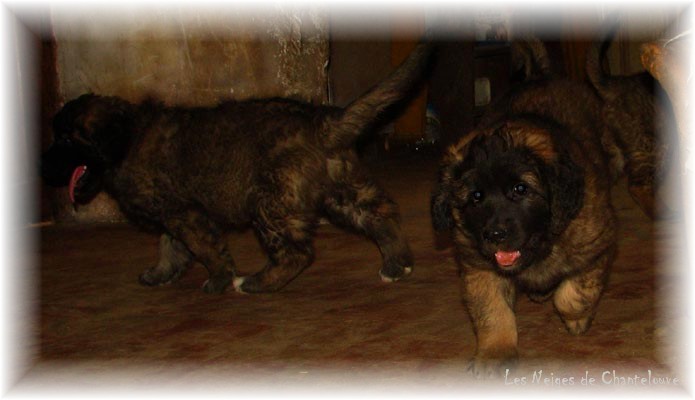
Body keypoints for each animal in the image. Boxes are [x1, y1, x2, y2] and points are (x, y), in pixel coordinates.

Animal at [40, 43, 432, 294]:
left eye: (66, 139)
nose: (43, 167)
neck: (126, 139)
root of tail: (321, 121)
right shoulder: (176, 211)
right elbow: (169, 245)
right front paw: (160, 274)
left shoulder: (184, 212)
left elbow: (204, 248)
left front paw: (218, 280)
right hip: (340, 190)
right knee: (379, 213)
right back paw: (397, 264)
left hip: (271, 203)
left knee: (298, 252)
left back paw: (257, 283)